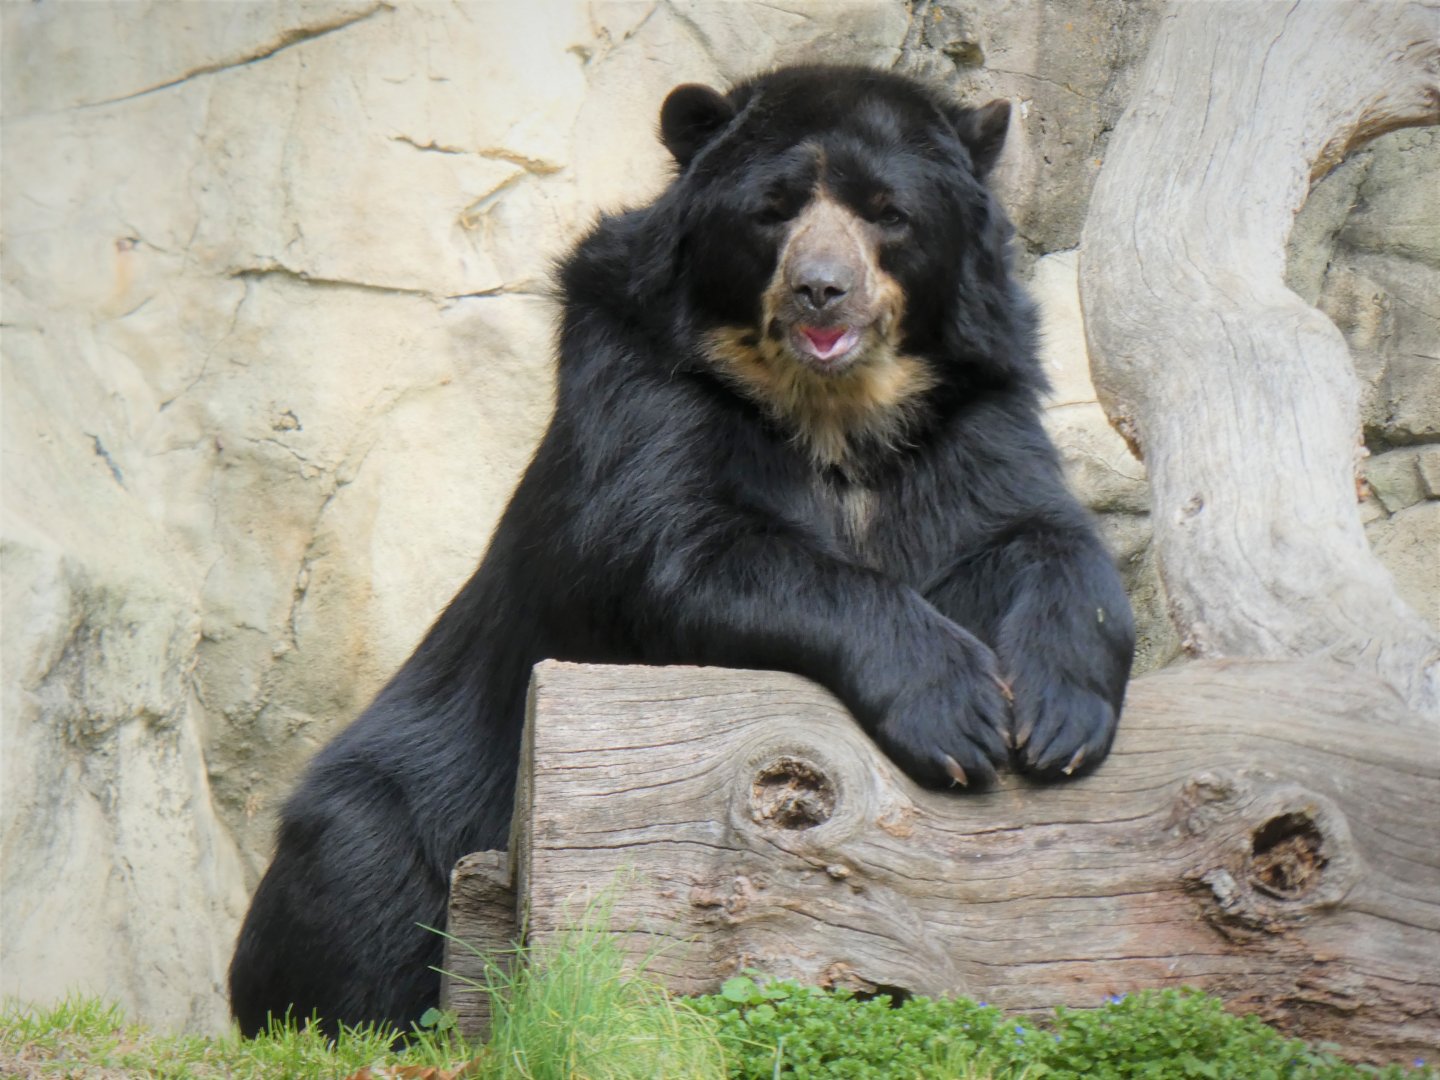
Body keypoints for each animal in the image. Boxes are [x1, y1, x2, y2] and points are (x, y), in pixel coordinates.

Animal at [228, 64, 1135, 1038]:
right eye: (773, 211)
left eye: (888, 213)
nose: (822, 290)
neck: (834, 413)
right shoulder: (642, 381)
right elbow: (680, 549)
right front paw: (957, 715)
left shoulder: (973, 408)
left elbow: (1036, 535)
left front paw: (1058, 723)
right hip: (409, 806)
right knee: (360, 885)